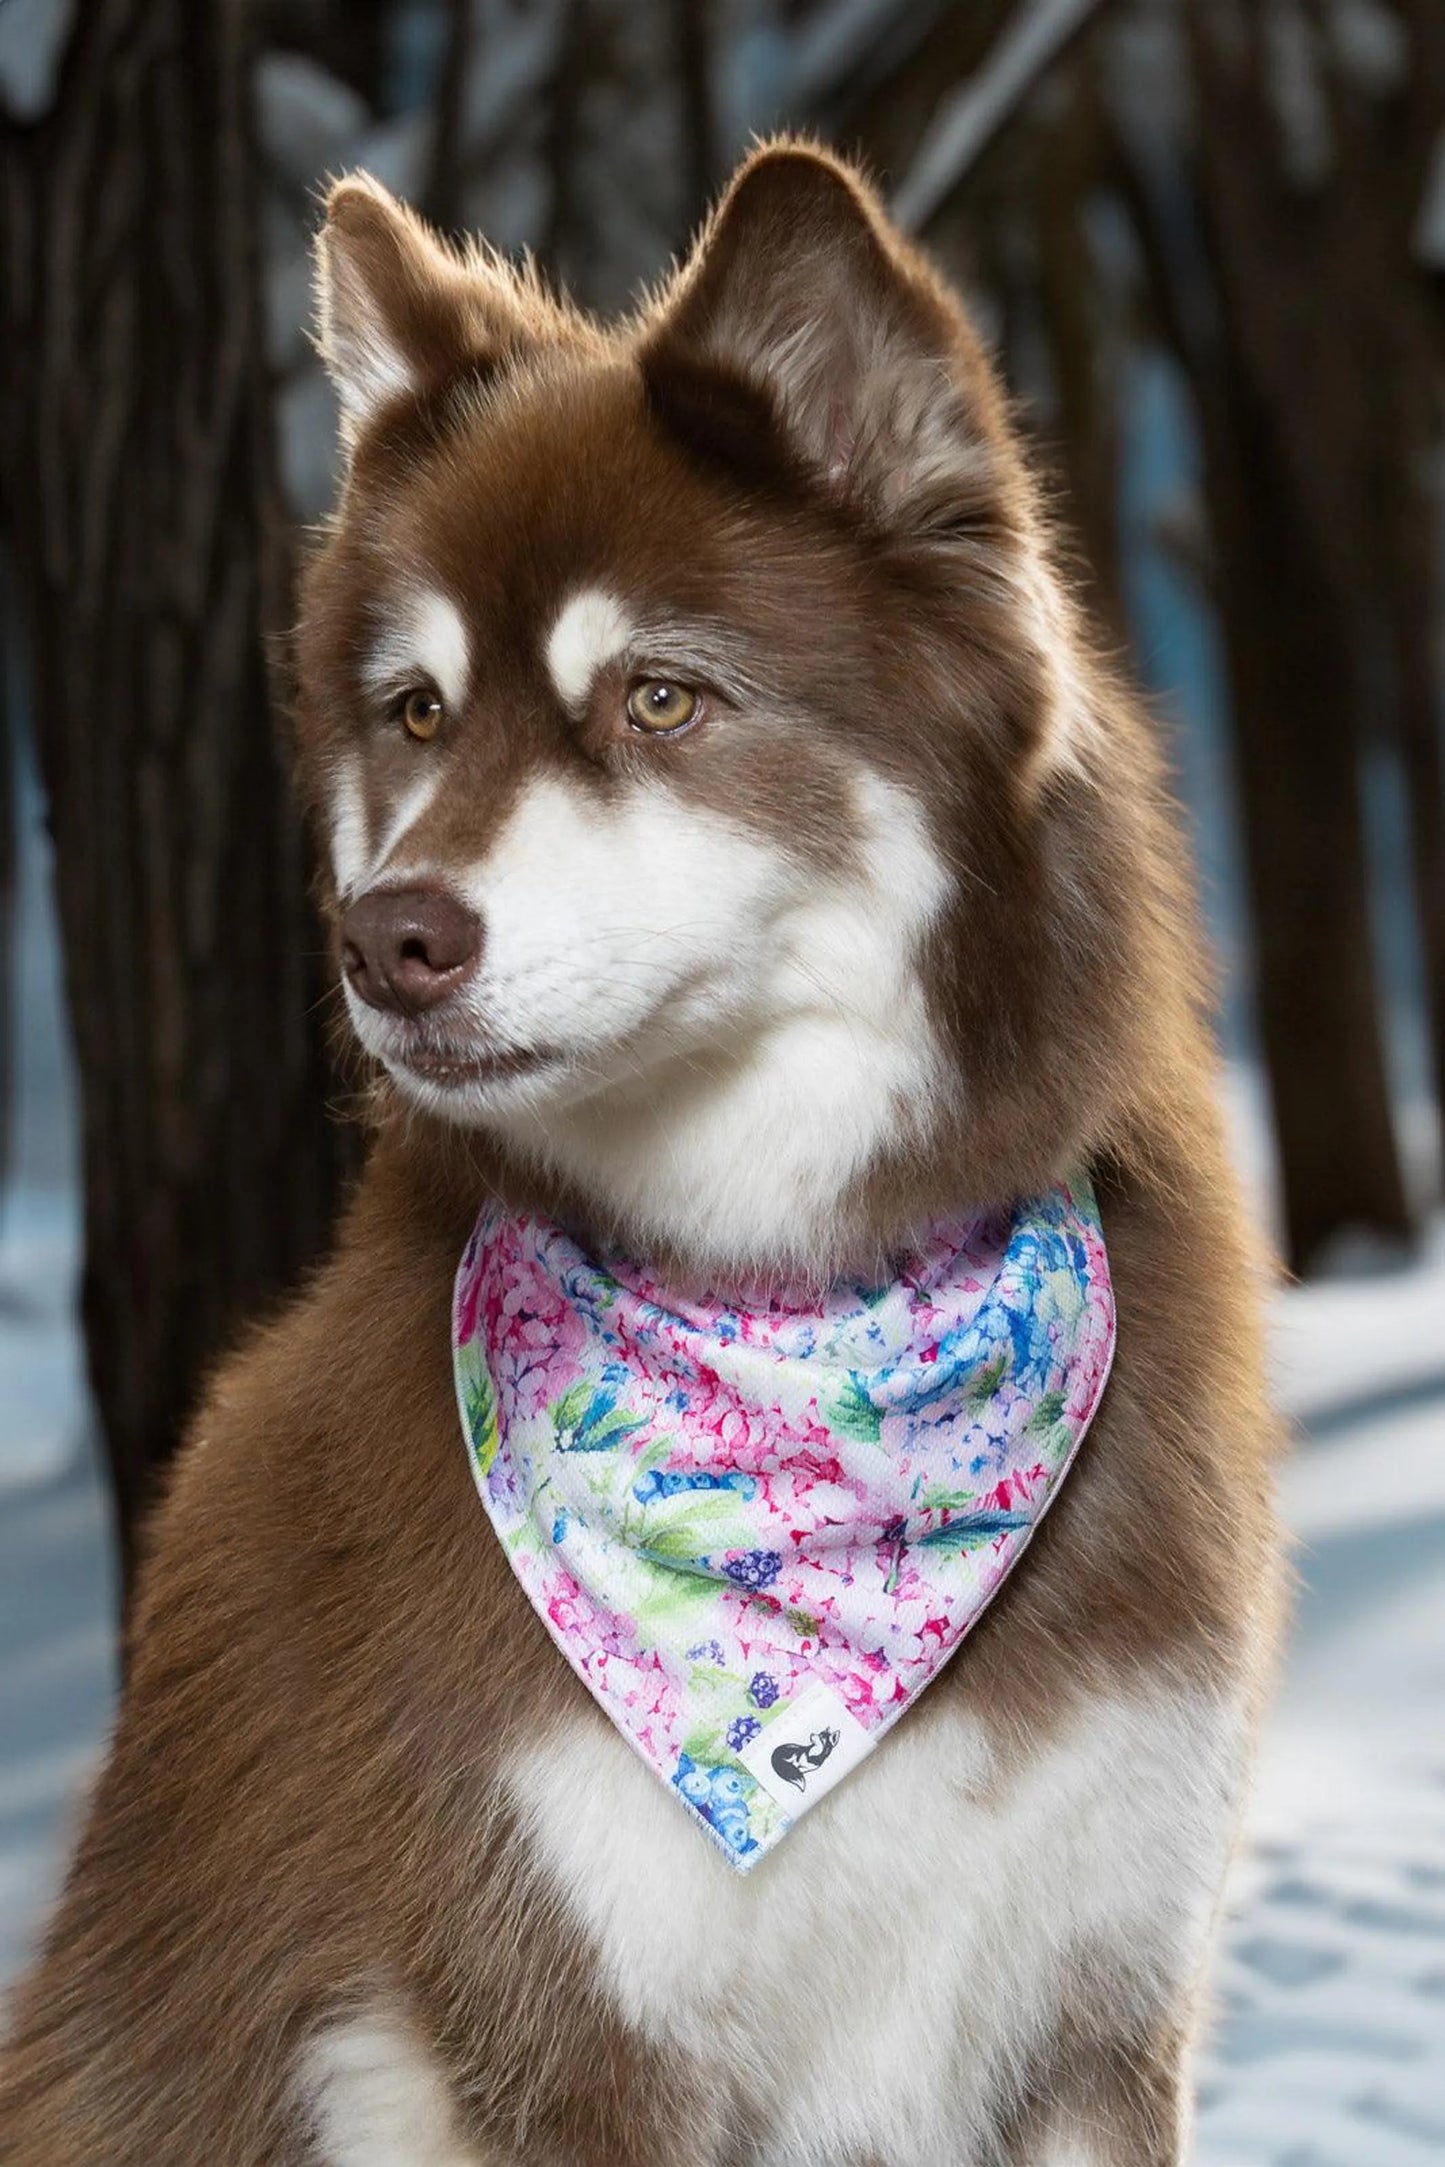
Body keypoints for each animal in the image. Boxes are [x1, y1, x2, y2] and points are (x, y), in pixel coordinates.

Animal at [2, 144, 1291, 2158]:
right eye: (418, 711)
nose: (385, 938)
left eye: (662, 698)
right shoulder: (571, 2032)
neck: (798, 1311)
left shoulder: (1097, 1998)